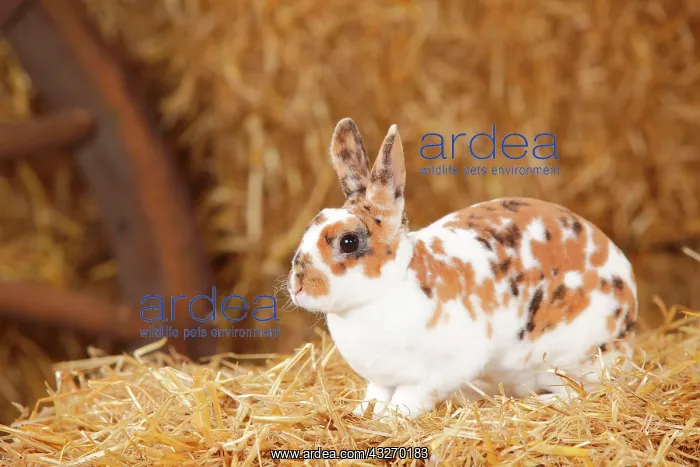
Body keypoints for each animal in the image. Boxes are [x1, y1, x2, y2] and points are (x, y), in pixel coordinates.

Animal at [287, 118, 637, 420]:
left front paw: (391, 419)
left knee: (582, 391)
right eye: (312, 224)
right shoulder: (380, 380)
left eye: (348, 242)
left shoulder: (435, 373)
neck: (389, 289)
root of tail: (629, 321)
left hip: (568, 360)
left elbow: (408, 399)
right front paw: (364, 414)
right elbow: (376, 396)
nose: (297, 285)